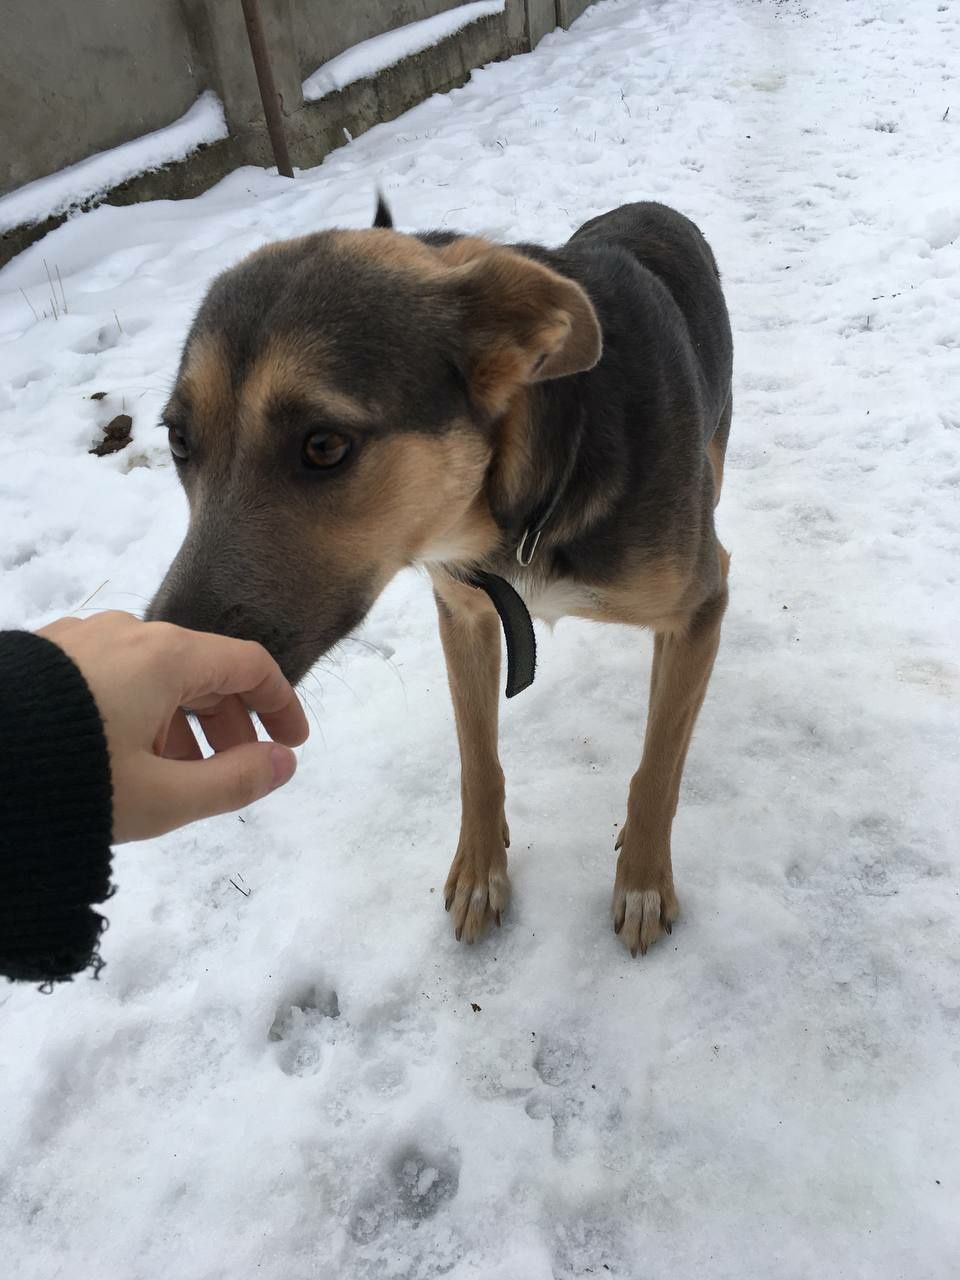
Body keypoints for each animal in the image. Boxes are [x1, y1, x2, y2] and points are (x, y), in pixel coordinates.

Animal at [150, 199, 732, 957]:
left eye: (324, 445)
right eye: (177, 440)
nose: (177, 682)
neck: (519, 505)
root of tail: (648, 206)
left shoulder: (701, 605)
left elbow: (658, 765)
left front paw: (641, 882)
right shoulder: (467, 611)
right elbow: (476, 758)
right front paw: (482, 871)